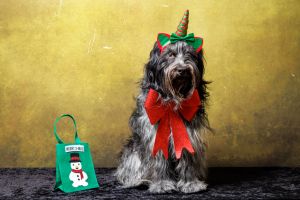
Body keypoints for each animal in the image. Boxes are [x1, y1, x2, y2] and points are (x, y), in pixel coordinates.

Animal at [115, 9, 211, 194]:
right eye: (171, 55)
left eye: (189, 55)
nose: (182, 70)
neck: (172, 102)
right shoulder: (154, 134)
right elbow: (159, 160)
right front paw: (162, 184)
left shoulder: (189, 131)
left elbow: (187, 157)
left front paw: (190, 183)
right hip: (133, 152)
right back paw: (138, 181)